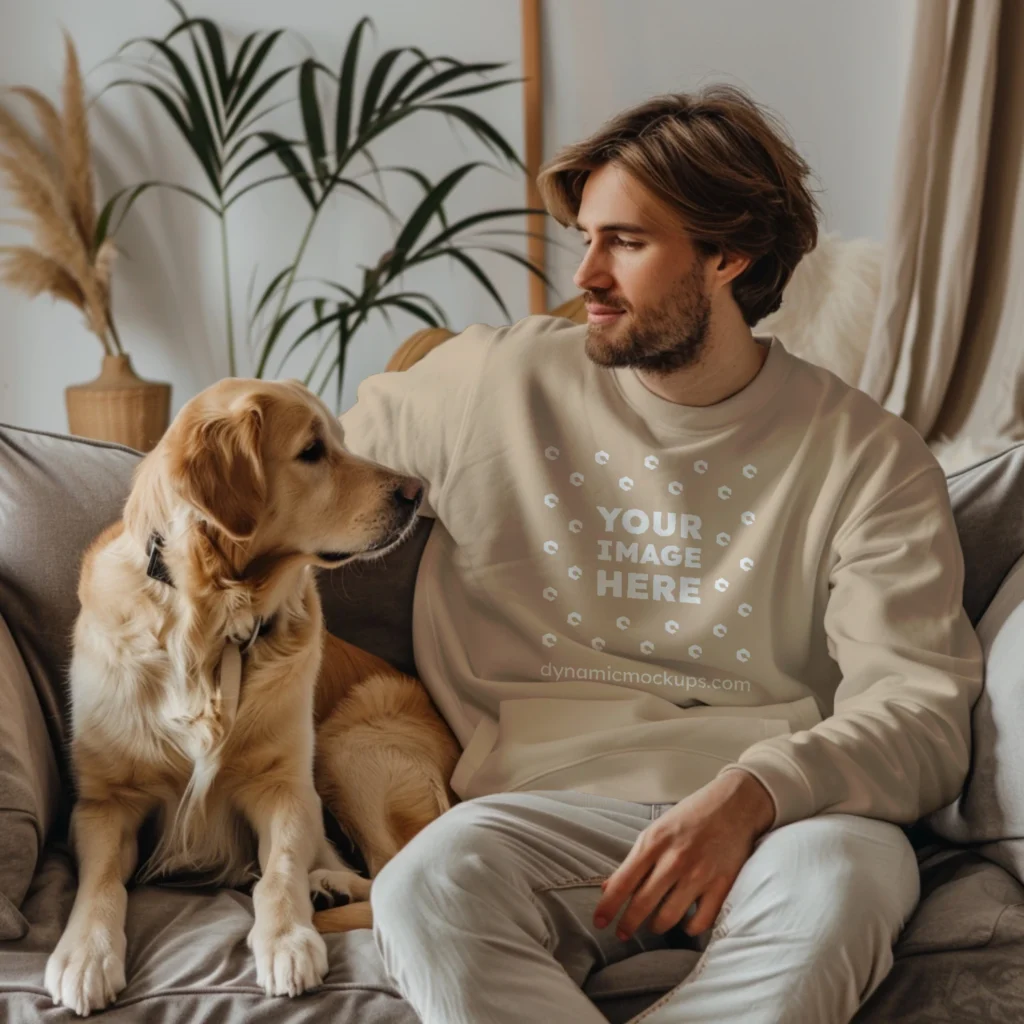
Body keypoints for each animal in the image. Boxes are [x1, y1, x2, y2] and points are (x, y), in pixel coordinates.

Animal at [48, 378, 456, 1015]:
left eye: (342, 439)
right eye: (312, 451)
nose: (418, 492)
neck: (212, 624)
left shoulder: (286, 787)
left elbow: (280, 871)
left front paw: (287, 939)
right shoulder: (104, 802)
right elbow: (102, 882)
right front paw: (85, 955)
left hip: (347, 747)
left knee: (390, 873)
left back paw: (328, 889)